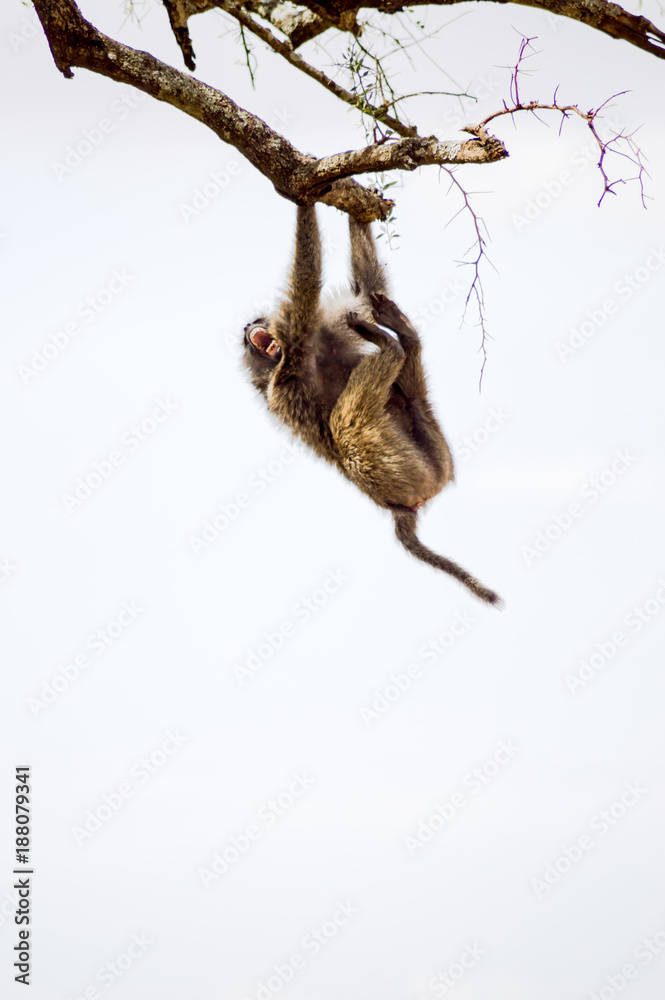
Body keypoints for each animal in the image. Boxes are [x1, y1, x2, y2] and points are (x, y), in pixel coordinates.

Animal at [242, 205, 500, 605]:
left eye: (256, 323)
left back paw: (404, 338)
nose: (248, 328)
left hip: (433, 461)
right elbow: (306, 281)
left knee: (412, 399)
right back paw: (393, 345)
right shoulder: (294, 345)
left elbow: (366, 289)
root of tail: (399, 508)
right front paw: (303, 195)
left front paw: (353, 204)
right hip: (398, 474)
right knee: (346, 429)